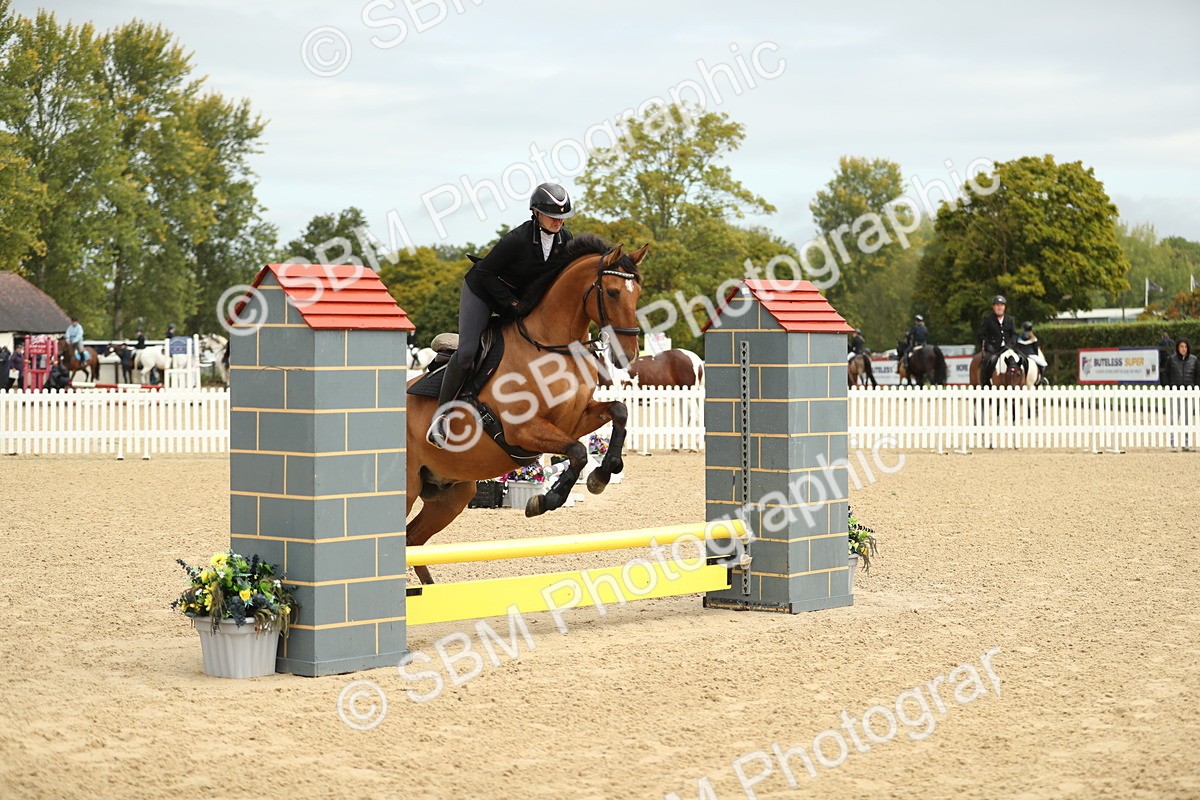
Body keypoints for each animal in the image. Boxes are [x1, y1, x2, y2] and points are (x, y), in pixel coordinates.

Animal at [405, 235, 647, 585]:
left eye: (638, 292)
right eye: (613, 292)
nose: (628, 355)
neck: (553, 347)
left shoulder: (575, 420)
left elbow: (618, 412)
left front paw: (602, 474)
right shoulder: (523, 430)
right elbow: (578, 452)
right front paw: (544, 500)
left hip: (452, 493)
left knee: (412, 539)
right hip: (408, 488)